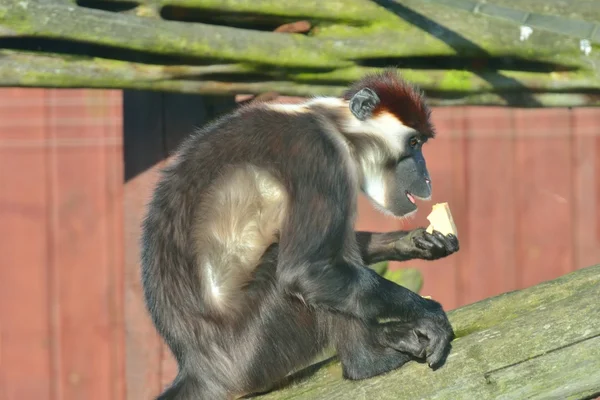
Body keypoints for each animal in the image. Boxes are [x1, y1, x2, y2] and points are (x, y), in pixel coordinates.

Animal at [141, 69, 460, 400]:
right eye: (413, 142)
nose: (426, 176)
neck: (333, 125)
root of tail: (199, 368)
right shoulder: (321, 156)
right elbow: (306, 272)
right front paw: (429, 310)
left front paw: (415, 242)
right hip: (256, 352)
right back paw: (367, 361)